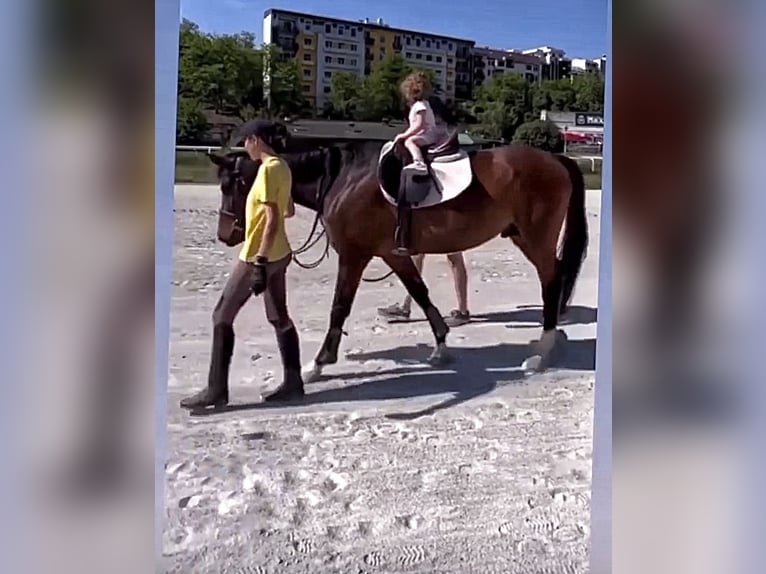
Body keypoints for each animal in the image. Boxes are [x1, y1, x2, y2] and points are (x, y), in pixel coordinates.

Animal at [207, 137, 588, 382]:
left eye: (230, 185)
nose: (225, 235)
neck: (343, 176)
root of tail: (555, 159)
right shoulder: (393, 253)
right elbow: (419, 292)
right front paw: (440, 346)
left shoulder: (354, 255)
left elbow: (340, 306)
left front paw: (318, 363)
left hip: (535, 239)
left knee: (552, 281)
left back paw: (542, 351)